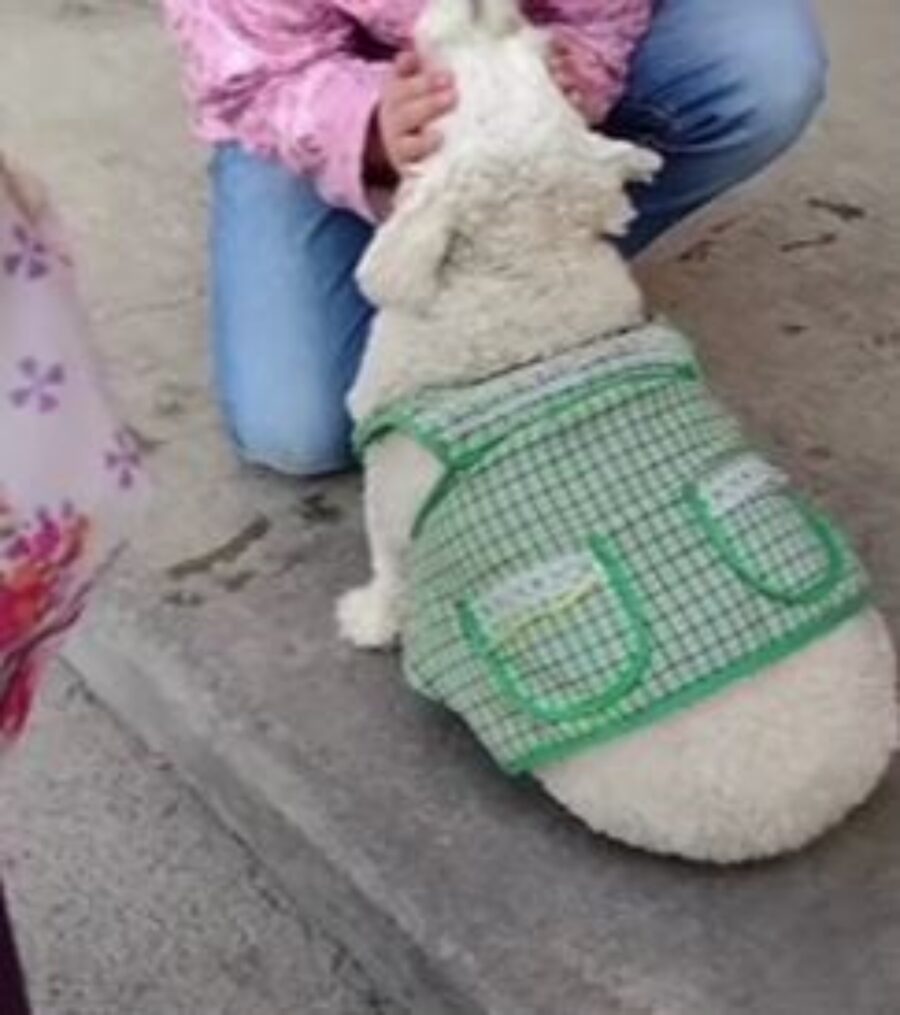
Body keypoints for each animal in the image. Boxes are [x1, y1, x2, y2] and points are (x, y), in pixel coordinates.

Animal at [338, 0, 900, 860]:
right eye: (536, 55)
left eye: (459, 84)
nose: (484, 6)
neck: (523, 286)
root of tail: (821, 805)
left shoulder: (394, 494)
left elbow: (387, 573)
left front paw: (364, 621)